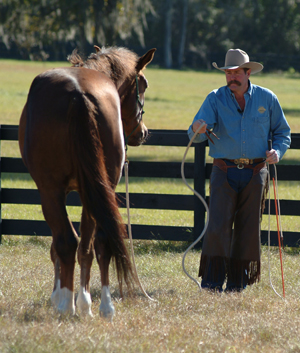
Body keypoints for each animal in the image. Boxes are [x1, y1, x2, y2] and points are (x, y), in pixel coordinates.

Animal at [18, 45, 156, 318]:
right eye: (143, 84)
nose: (143, 132)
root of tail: (78, 94)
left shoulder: (55, 192)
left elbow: (58, 246)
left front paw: (60, 296)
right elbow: (88, 246)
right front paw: (81, 301)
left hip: (51, 191)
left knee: (68, 241)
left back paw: (67, 305)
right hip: (100, 187)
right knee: (98, 242)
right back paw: (102, 306)